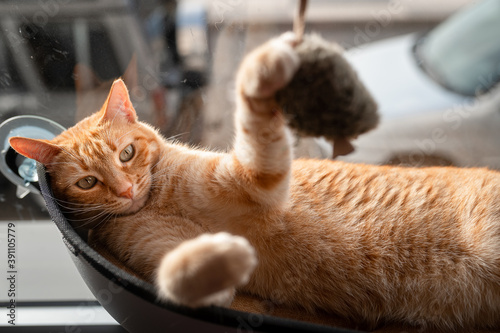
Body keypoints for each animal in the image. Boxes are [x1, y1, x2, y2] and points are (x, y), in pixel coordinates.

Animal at [7, 32, 500, 328]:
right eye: (88, 182)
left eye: (126, 154)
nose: (126, 191)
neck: (159, 198)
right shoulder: (149, 249)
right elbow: (179, 275)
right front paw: (224, 260)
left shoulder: (256, 177)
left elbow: (254, 115)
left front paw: (267, 67)